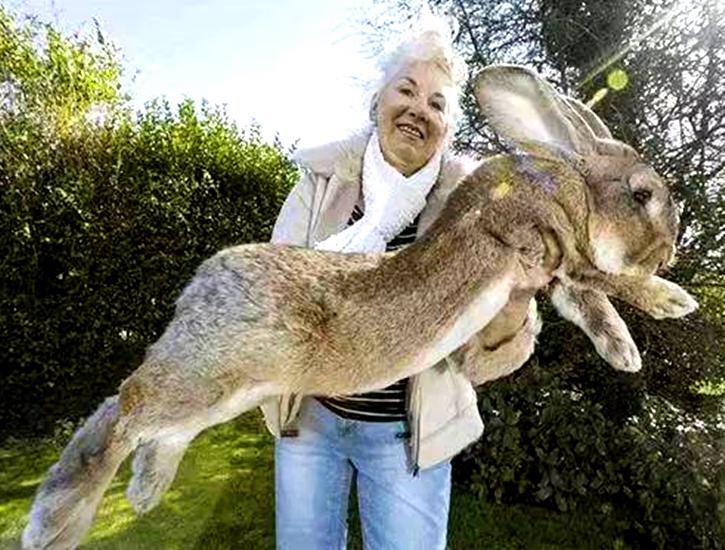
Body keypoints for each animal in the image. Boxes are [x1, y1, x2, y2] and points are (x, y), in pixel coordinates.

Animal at [22, 64, 697, 550]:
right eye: (643, 196)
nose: (670, 252)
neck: (571, 184)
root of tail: (197, 289)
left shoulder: (553, 276)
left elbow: (589, 302)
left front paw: (625, 352)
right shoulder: (543, 242)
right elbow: (604, 278)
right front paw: (672, 301)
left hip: (225, 391)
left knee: (155, 427)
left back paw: (143, 492)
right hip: (209, 374)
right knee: (123, 409)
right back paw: (54, 521)